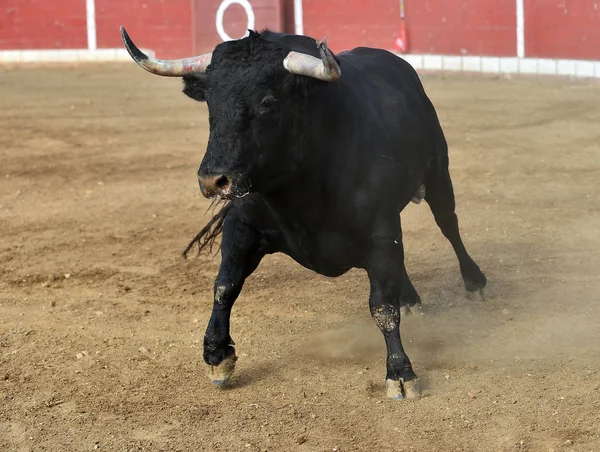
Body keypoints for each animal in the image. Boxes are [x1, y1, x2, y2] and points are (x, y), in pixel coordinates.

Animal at [120, 26, 488, 398]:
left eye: (267, 102)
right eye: (210, 101)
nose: (212, 180)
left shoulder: (380, 227)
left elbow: (382, 306)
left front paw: (401, 373)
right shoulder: (242, 224)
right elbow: (225, 285)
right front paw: (217, 355)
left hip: (438, 174)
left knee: (448, 224)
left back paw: (474, 282)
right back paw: (410, 297)